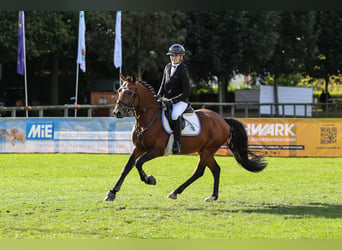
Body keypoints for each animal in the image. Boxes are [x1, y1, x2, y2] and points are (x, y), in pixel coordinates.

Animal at [105, 73, 268, 201]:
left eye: (130, 93)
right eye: (119, 90)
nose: (117, 112)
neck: (148, 119)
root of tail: (223, 120)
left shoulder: (157, 150)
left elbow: (138, 163)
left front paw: (149, 179)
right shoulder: (138, 148)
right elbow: (127, 167)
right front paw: (112, 192)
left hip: (208, 150)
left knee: (199, 172)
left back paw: (175, 192)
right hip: (205, 150)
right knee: (216, 169)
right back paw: (213, 196)